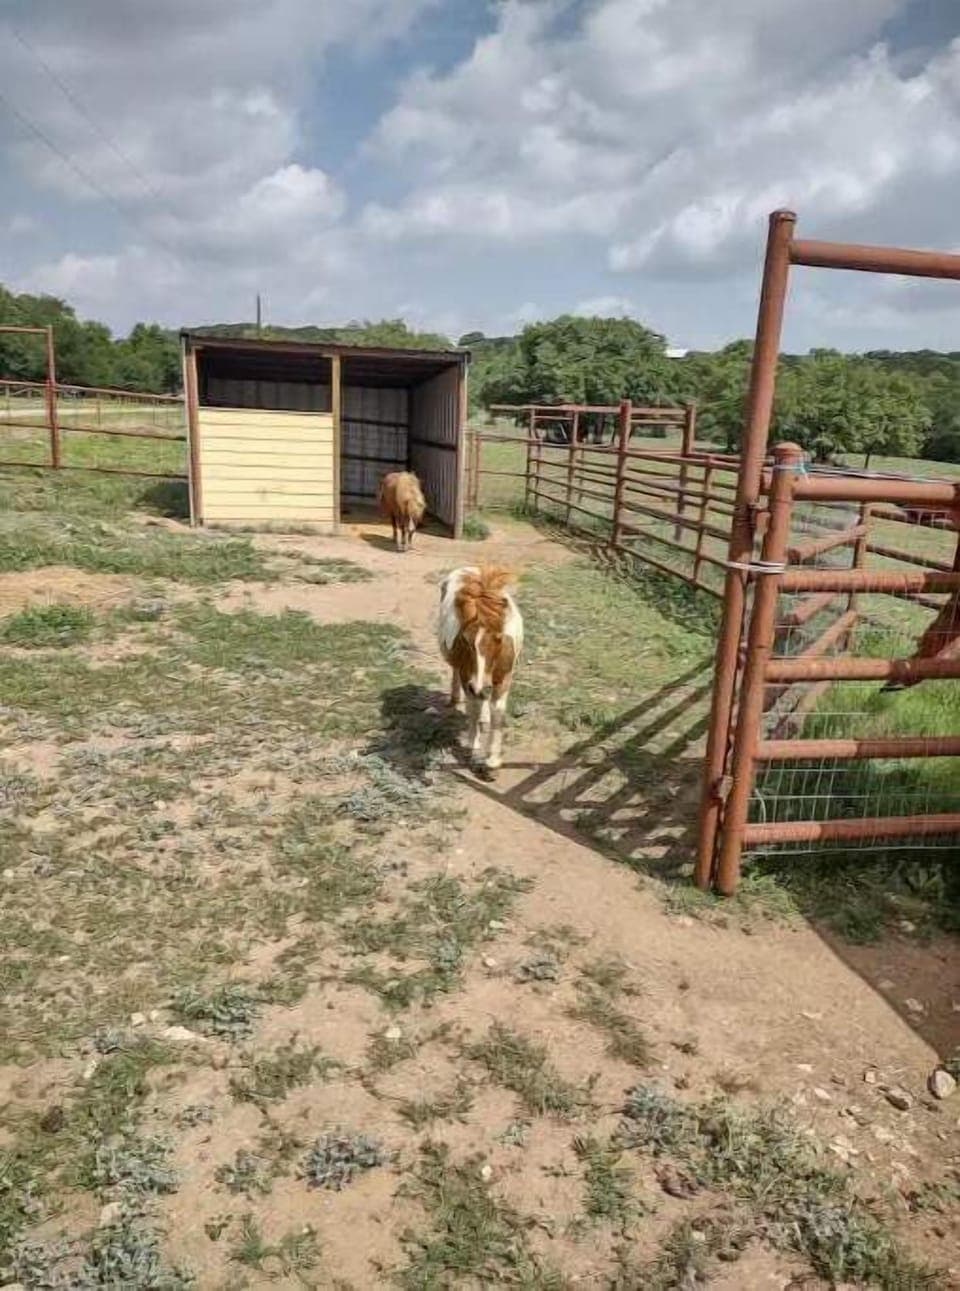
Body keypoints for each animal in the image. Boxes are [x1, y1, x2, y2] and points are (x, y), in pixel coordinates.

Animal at [438, 565, 523, 772]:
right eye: (466, 640)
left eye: (499, 638)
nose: (478, 686)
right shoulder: (467, 676)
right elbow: (473, 709)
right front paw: (473, 749)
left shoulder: (504, 677)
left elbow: (497, 711)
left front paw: (492, 760)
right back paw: (455, 698)